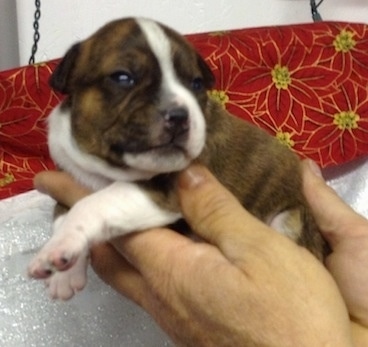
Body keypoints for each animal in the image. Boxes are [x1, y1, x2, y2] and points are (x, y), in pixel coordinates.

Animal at [29, 16, 328, 300]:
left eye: (196, 84)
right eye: (123, 77)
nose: (179, 115)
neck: (108, 168)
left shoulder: (163, 192)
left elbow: (94, 204)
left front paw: (59, 246)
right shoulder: (71, 174)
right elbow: (62, 210)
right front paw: (64, 272)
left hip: (290, 220)